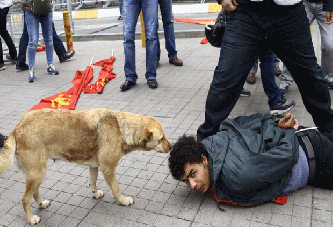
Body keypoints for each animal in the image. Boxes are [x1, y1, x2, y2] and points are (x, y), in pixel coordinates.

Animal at [0, 108, 171, 225]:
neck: (121, 127)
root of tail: (17, 128)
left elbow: (93, 181)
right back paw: (30, 218)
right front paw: (123, 200)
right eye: (162, 138)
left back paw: (41, 204)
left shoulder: (94, 166)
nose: (171, 147)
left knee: (33, 193)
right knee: (25, 199)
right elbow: (116, 189)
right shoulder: (108, 169)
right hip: (37, 173)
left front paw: (95, 194)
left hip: (36, 173)